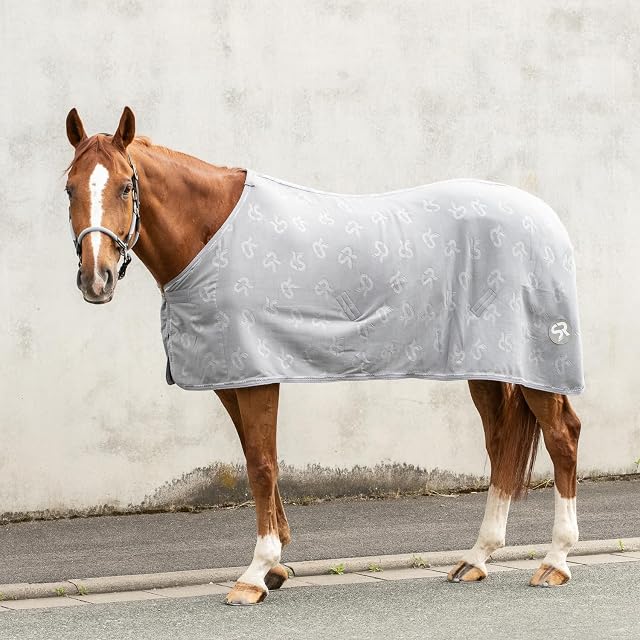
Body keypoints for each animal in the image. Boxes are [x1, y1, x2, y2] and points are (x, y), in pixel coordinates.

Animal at [64, 106, 582, 605]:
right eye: (69, 187)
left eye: (126, 186)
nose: (96, 279)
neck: (212, 233)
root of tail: (548, 219)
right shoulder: (232, 373)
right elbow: (257, 458)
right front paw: (275, 566)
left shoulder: (257, 374)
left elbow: (261, 464)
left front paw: (255, 573)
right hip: (489, 367)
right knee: (500, 446)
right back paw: (477, 557)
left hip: (538, 366)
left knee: (562, 437)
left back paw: (554, 562)